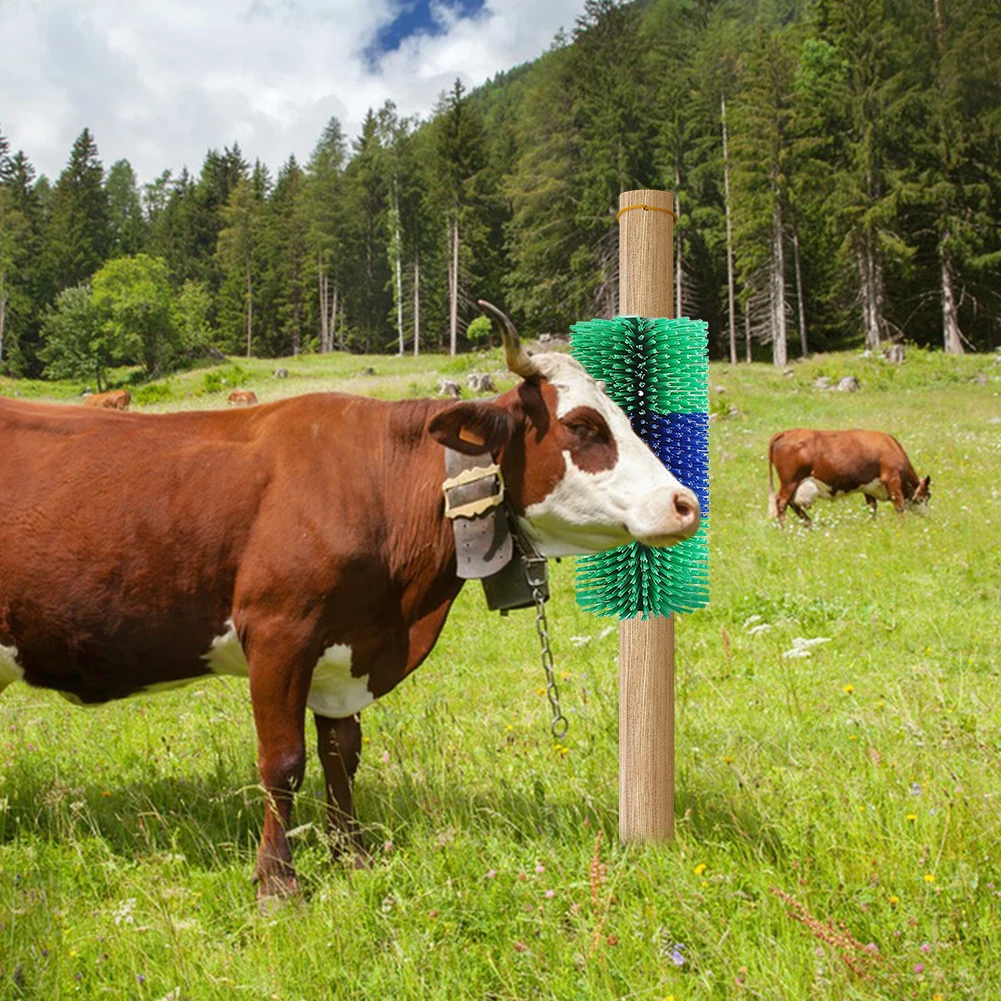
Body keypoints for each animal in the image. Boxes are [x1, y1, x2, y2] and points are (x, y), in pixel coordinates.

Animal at [0, 302, 700, 900]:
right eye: (582, 425)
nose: (684, 504)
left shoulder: (345, 649)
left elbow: (342, 754)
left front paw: (353, 855)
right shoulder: (278, 631)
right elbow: (282, 762)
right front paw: (278, 883)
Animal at [772, 426, 928, 528]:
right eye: (925, 497)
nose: (925, 516)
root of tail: (786, 433)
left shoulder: (868, 487)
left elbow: (872, 506)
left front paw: (871, 524)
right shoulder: (892, 478)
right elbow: (899, 505)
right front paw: (903, 524)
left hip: (795, 484)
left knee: (792, 503)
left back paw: (809, 523)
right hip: (790, 481)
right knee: (782, 502)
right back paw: (784, 528)